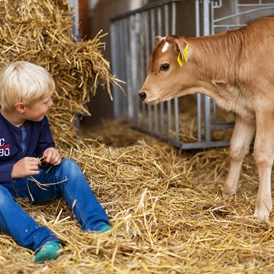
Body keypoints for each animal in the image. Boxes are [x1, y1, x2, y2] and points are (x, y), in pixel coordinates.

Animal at [139, 16, 274, 220]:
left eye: (164, 66)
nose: (142, 94)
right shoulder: (246, 110)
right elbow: (237, 148)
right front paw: (227, 193)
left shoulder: (265, 106)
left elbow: (262, 154)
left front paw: (262, 209)